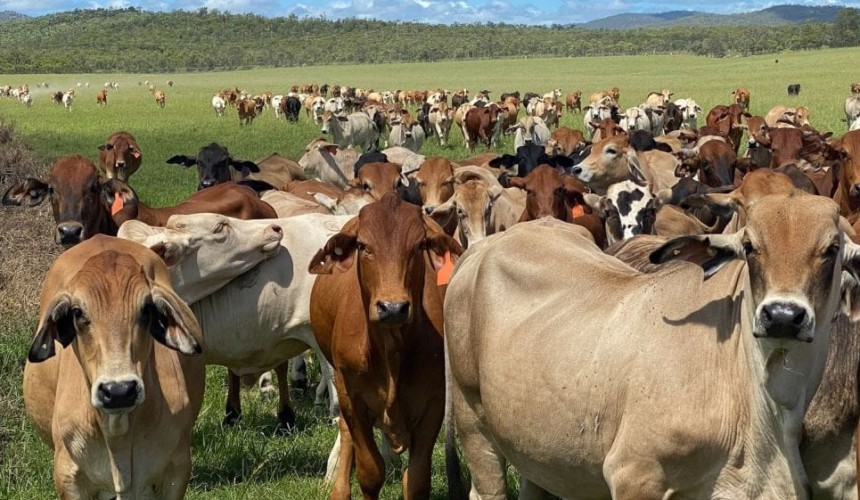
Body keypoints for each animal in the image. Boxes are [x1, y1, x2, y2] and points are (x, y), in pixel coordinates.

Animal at [308, 194, 462, 499]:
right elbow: (370, 472)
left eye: (419, 246)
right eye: (363, 246)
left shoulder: (433, 403)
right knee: (345, 432)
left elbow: (416, 480)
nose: (392, 307)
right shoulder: (352, 397)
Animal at [446, 187, 860, 499]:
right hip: (472, 421)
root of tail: (482, 247)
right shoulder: (636, 474)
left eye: (831, 249)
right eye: (750, 246)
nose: (783, 315)